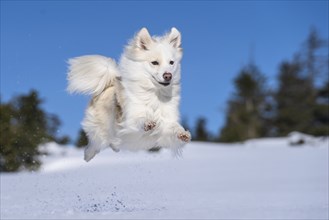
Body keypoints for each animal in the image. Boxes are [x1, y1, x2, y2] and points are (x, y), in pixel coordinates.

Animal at [66, 27, 190, 162]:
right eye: (154, 63)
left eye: (171, 62)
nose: (168, 75)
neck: (155, 93)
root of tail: (108, 85)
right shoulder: (130, 119)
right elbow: (140, 118)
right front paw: (148, 123)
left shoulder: (167, 120)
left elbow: (173, 127)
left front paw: (183, 133)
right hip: (100, 132)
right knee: (94, 143)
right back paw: (88, 155)